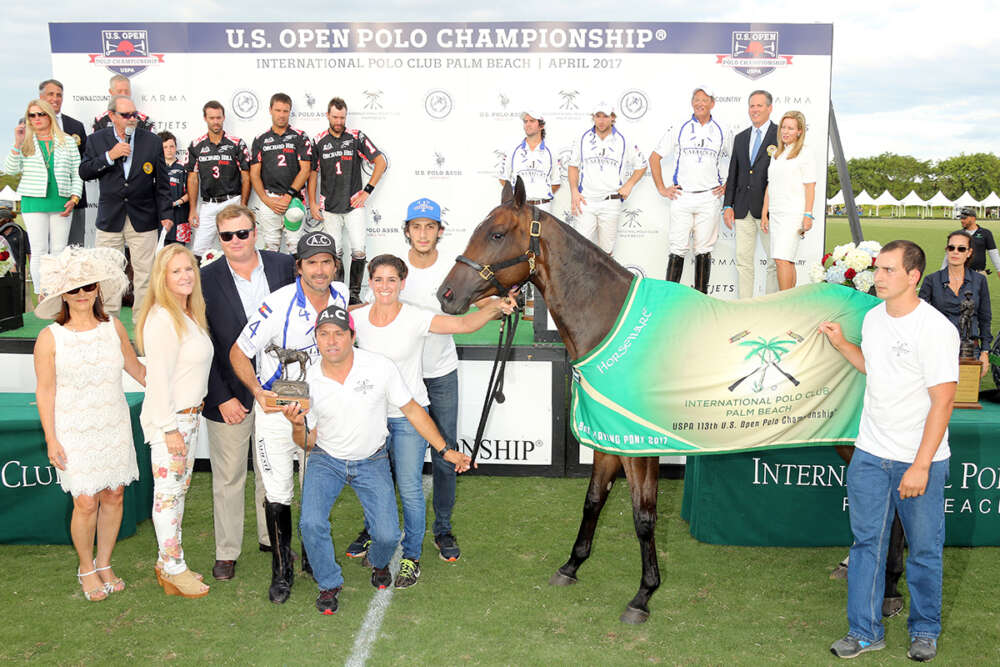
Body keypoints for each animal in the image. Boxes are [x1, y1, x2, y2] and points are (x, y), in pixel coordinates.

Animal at [438, 179, 908, 628]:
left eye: (497, 234)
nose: (446, 294)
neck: (610, 319)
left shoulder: (639, 445)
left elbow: (643, 517)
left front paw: (643, 594)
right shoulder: (610, 439)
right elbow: (593, 501)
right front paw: (572, 565)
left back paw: (888, 590)